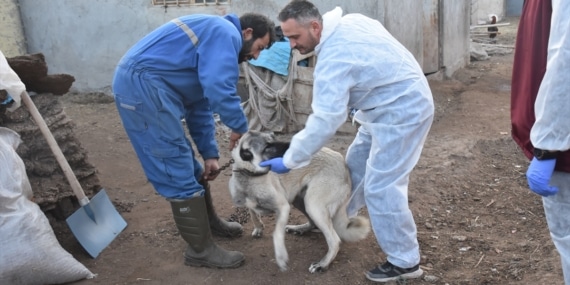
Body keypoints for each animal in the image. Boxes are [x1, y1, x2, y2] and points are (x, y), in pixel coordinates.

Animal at [229, 130, 370, 272]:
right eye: (268, 146)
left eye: (274, 138)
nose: (294, 149)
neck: (249, 176)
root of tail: (343, 164)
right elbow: (253, 213)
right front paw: (258, 227)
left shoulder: (283, 207)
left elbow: (277, 233)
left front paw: (280, 256)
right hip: (300, 200)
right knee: (313, 223)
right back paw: (299, 229)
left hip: (312, 204)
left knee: (334, 240)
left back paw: (323, 263)